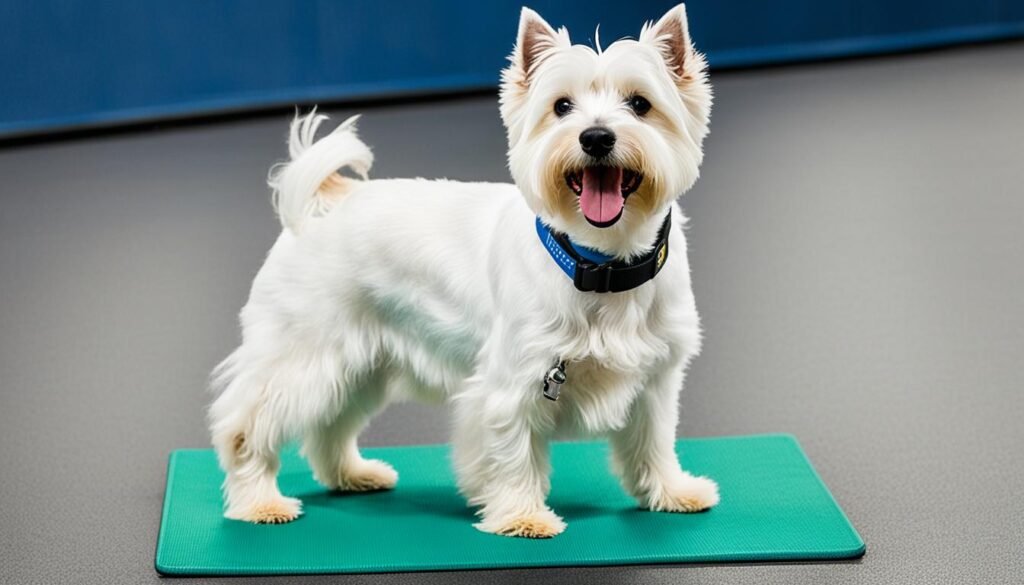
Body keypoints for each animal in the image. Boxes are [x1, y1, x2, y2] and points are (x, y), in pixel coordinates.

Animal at [207, 4, 716, 536]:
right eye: (561, 107)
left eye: (640, 104)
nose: (596, 137)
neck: (600, 264)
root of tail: (328, 198)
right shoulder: (511, 386)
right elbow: (513, 456)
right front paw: (523, 514)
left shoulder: (655, 384)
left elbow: (652, 445)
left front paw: (671, 492)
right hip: (304, 358)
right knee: (243, 428)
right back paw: (259, 503)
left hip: (360, 366)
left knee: (328, 426)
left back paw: (352, 475)